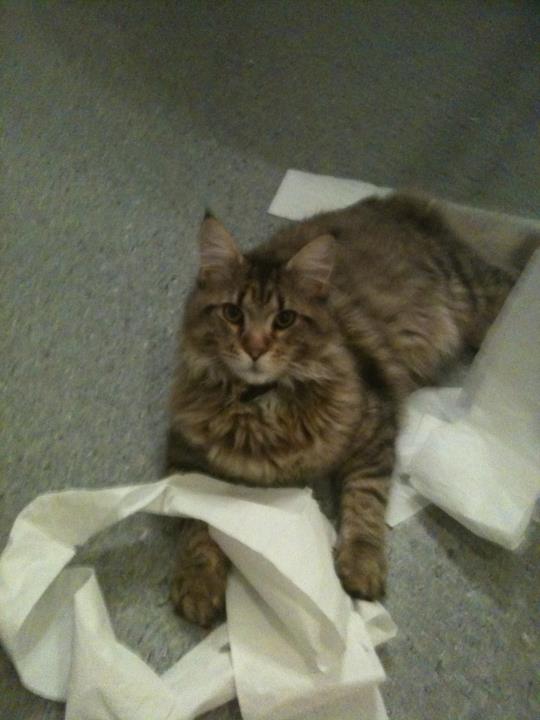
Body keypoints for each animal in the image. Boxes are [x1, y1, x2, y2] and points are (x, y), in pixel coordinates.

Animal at [167, 193, 514, 627]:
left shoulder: (374, 428)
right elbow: (195, 522)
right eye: (233, 314)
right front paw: (199, 580)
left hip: (474, 299)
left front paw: (361, 563)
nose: (255, 348)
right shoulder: (184, 454)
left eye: (284, 319)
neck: (262, 407)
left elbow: (365, 500)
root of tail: (397, 201)